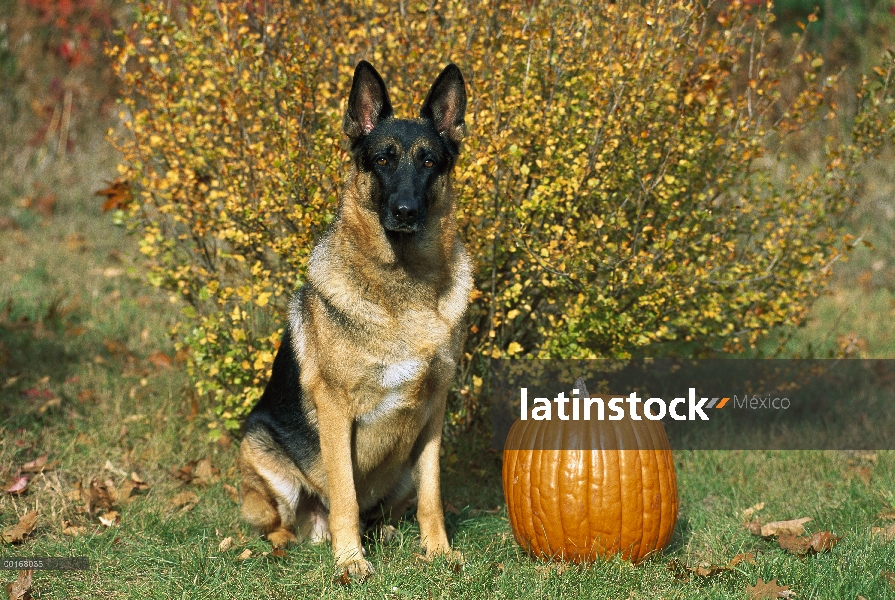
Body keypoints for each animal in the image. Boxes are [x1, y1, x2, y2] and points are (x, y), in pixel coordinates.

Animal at [238, 62, 476, 580]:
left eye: (429, 162)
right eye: (383, 160)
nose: (405, 211)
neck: (403, 288)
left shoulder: (433, 414)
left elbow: (433, 497)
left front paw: (439, 551)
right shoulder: (335, 408)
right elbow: (345, 495)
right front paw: (350, 562)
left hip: (402, 472)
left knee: (386, 513)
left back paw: (388, 536)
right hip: (261, 451)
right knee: (283, 524)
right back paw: (291, 546)